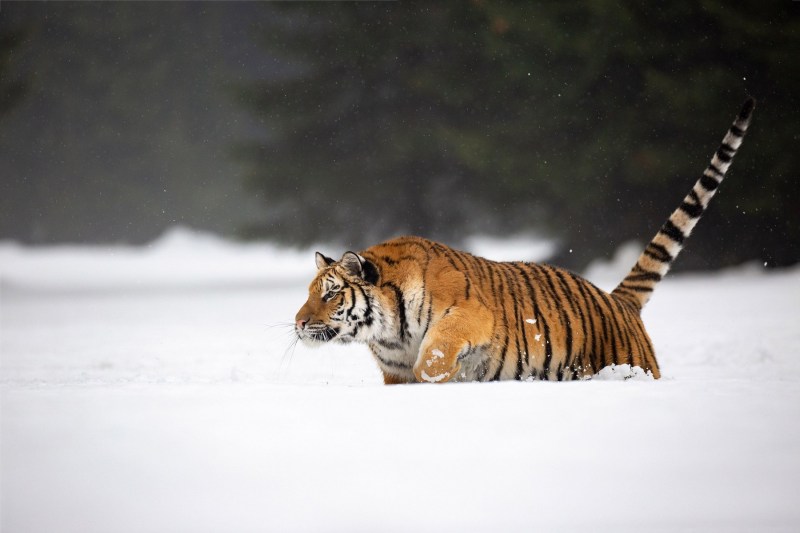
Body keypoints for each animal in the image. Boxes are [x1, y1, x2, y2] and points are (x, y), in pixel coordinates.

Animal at [294, 98, 756, 382]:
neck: (388, 332)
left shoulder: (470, 314)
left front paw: (443, 377)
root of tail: (618, 301)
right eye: (310, 292)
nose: (298, 323)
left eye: (331, 293)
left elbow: (436, 355)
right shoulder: (395, 370)